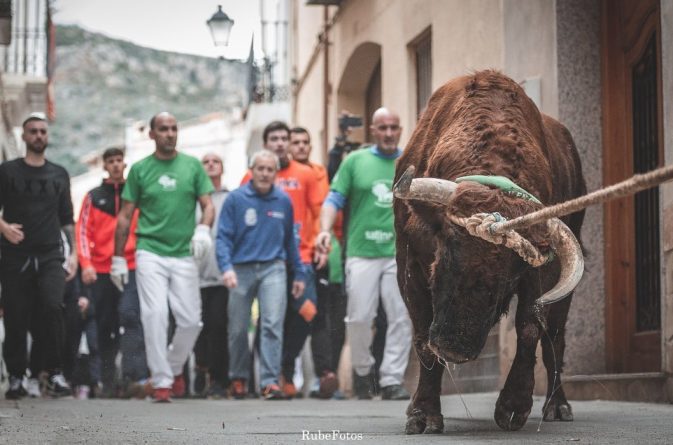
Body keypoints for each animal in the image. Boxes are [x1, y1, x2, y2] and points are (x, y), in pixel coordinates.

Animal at [392, 68, 584, 430]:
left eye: (511, 274)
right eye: (446, 251)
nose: (454, 346)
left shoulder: (542, 270)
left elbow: (530, 328)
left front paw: (513, 405)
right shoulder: (410, 268)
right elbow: (422, 338)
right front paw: (423, 414)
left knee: (555, 337)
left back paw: (557, 405)